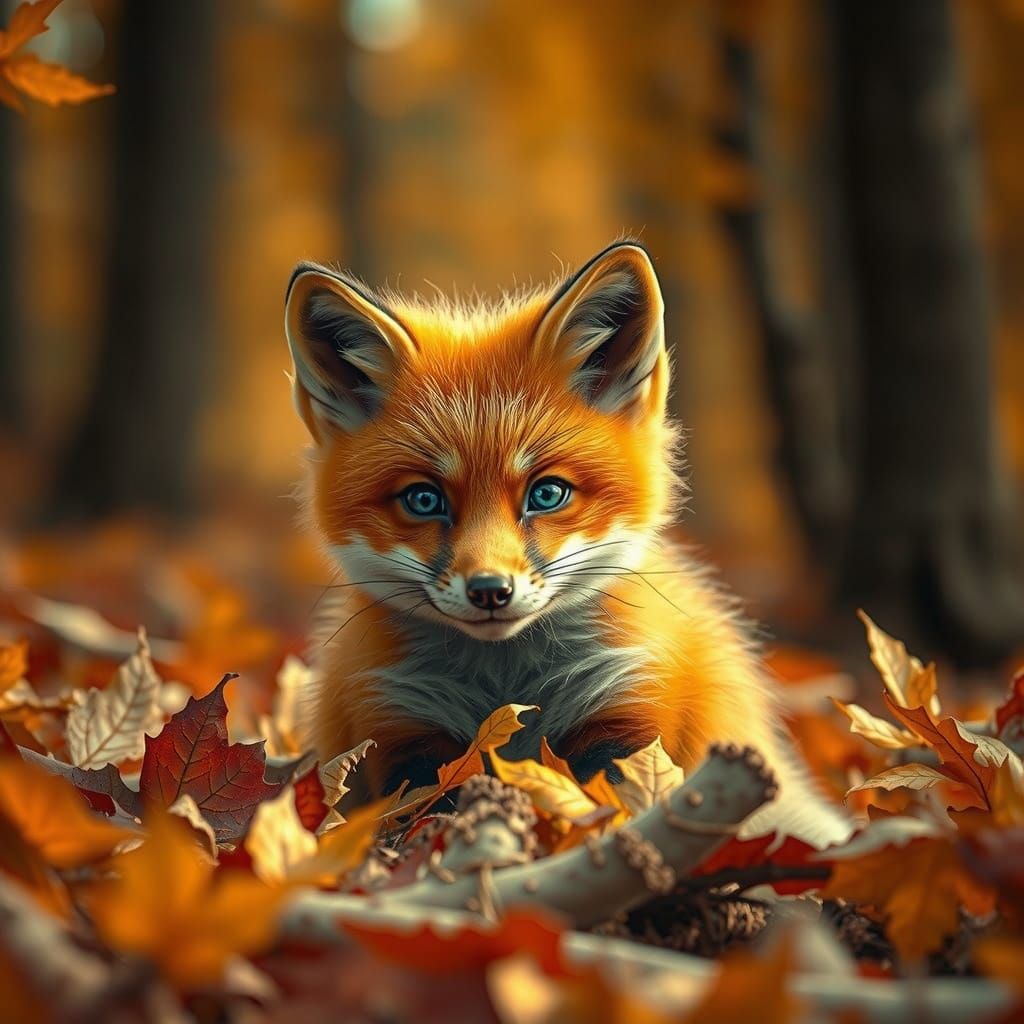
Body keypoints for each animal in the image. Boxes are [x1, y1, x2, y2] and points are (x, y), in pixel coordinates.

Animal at [285, 240, 851, 847]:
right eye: (423, 500)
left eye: (547, 493)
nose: (491, 590)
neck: (505, 686)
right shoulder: (404, 736)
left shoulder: (627, 715)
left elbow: (615, 810)